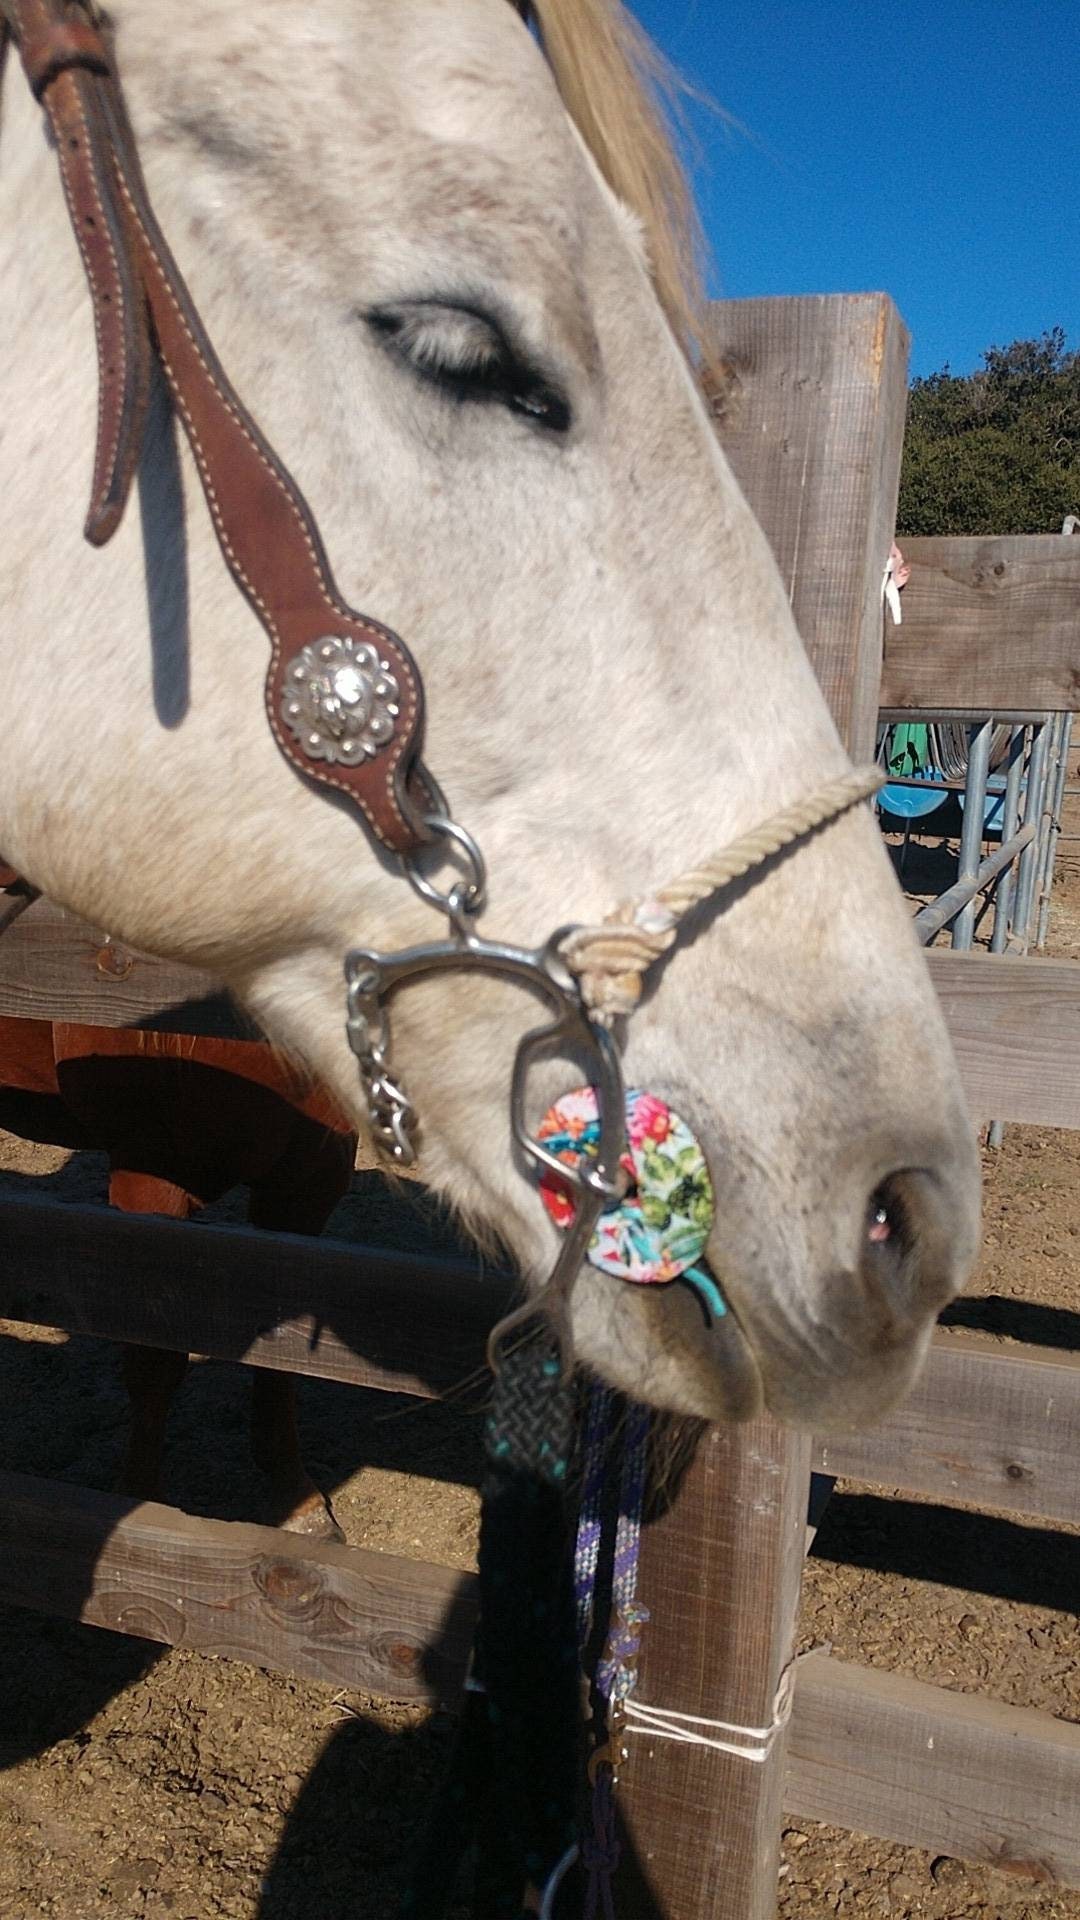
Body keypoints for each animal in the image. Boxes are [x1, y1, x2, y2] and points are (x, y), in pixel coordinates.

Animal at [0, 1009, 356, 1538]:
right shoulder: (150, 1174)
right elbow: (155, 1360)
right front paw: (142, 1505)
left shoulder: (310, 1176)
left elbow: (285, 1359)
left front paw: (297, 1502)